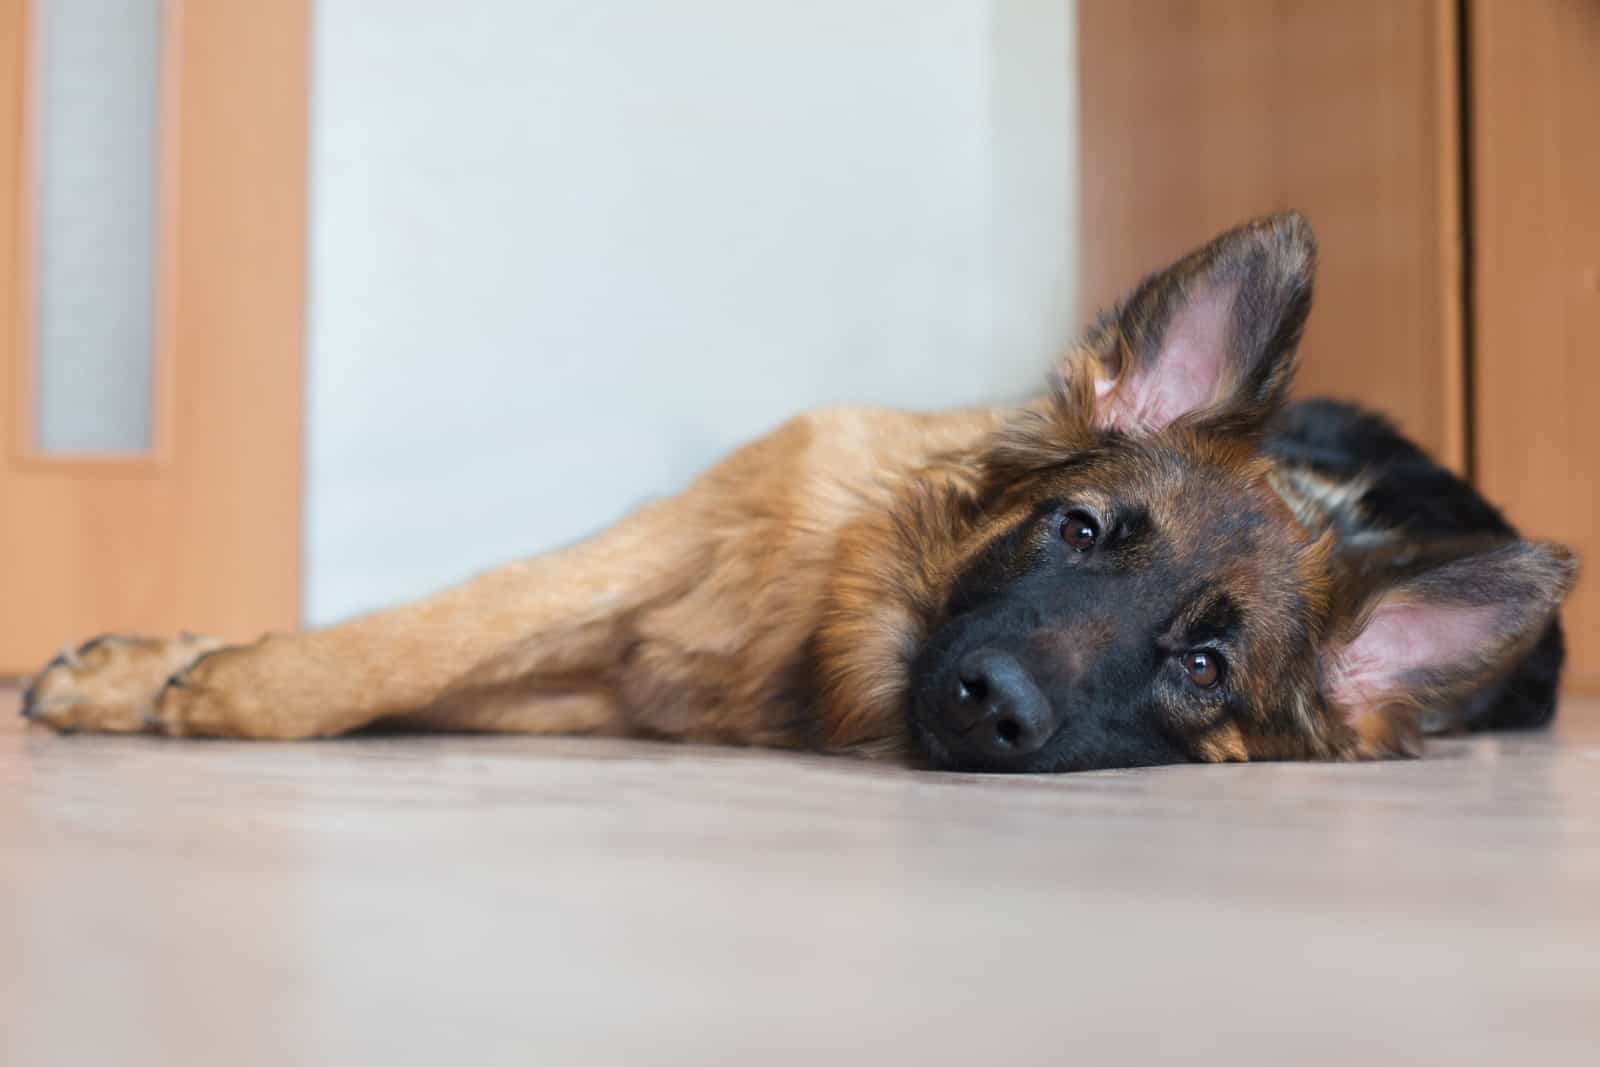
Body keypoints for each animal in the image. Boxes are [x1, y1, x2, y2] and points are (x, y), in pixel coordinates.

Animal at [21, 217, 1574, 771]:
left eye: (1203, 664)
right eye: (1081, 529)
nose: (991, 703)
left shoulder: (618, 669)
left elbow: (410, 663)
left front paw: (205, 683)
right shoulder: (654, 557)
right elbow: (411, 637)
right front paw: (187, 671)